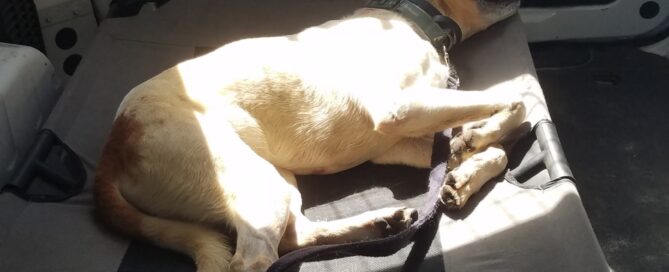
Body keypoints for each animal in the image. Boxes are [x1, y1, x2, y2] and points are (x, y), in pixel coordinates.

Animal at [94, 1, 524, 270]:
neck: (414, 18)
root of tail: (114, 143)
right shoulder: (398, 106)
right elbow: (517, 99)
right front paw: (488, 131)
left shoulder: (399, 138)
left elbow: (492, 146)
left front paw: (467, 169)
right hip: (256, 182)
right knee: (255, 259)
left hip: (276, 179)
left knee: (294, 236)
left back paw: (381, 223)